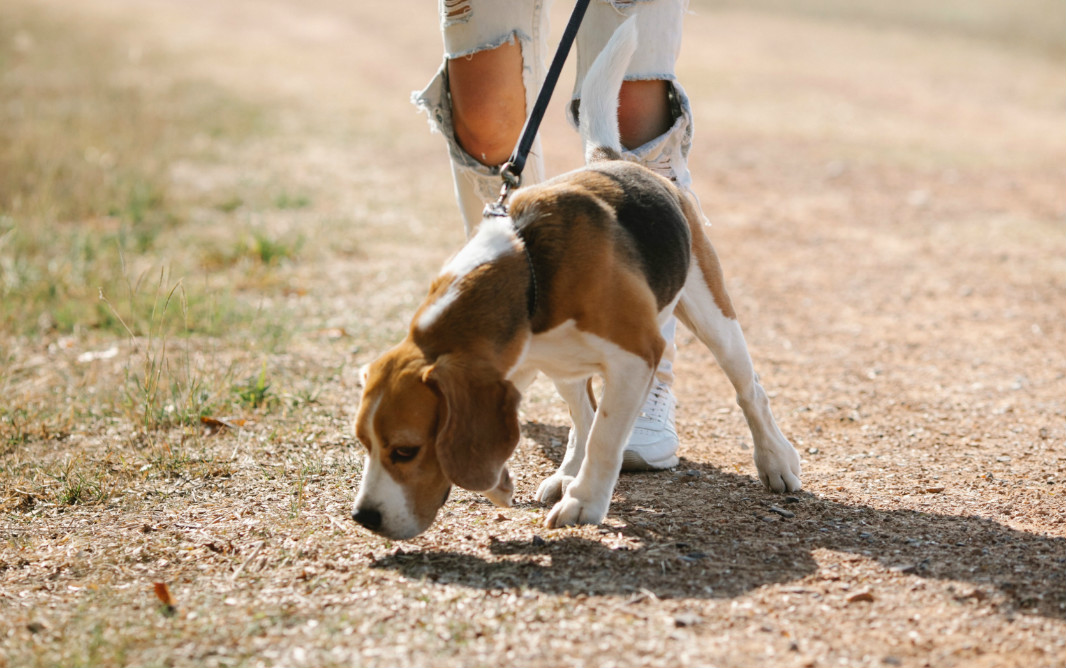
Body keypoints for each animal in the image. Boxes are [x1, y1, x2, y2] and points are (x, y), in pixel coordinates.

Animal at [349, 18, 801, 541]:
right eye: (364, 444)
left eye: (406, 450)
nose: (363, 518)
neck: (528, 271)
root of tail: (614, 159)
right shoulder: (515, 365)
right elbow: (587, 423)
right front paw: (513, 483)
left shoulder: (635, 356)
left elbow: (606, 435)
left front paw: (584, 502)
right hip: (560, 366)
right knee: (581, 412)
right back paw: (567, 471)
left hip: (712, 314)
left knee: (749, 390)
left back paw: (775, 460)